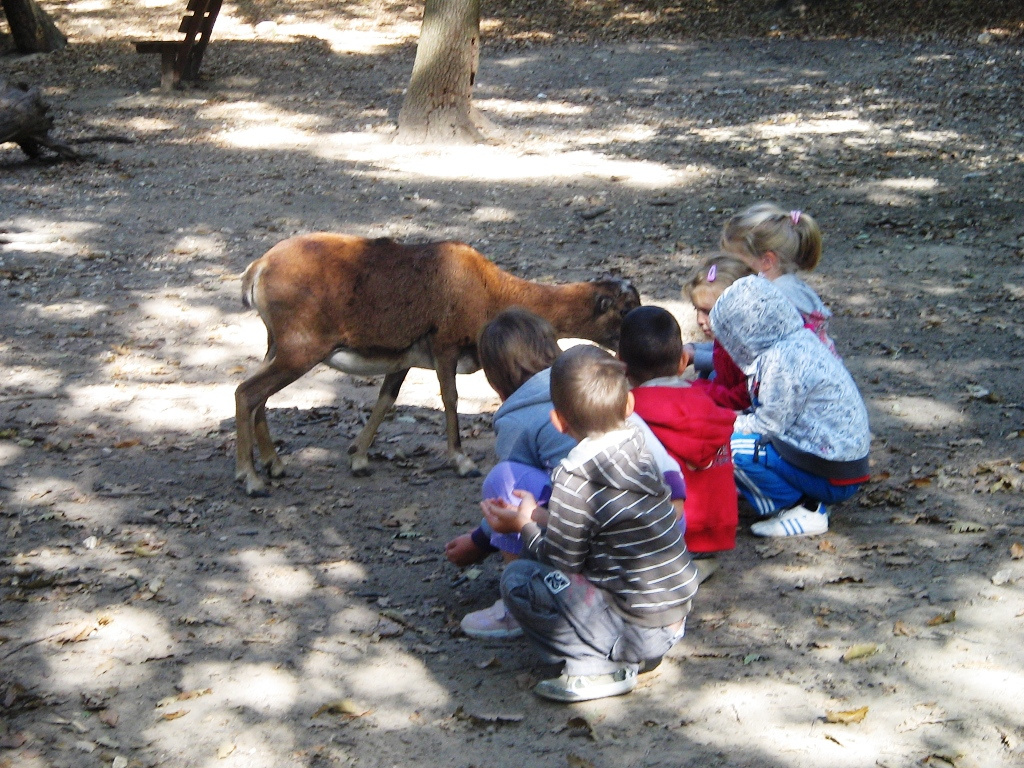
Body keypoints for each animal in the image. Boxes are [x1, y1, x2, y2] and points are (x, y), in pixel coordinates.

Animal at [237, 234, 638, 495]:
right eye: (624, 310)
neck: (488, 289)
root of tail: (258, 269)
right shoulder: (445, 347)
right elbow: (450, 399)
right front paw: (461, 461)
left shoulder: (403, 358)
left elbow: (386, 399)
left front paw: (359, 458)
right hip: (300, 350)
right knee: (247, 392)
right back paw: (251, 479)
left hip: (277, 347)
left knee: (260, 397)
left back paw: (274, 464)